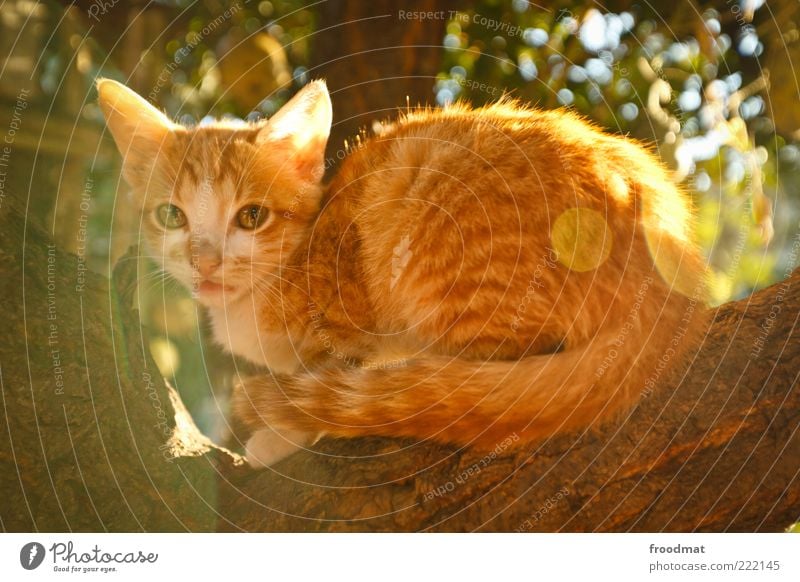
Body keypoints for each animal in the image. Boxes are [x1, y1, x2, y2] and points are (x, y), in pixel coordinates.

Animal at [98, 78, 708, 470]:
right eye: (171, 216)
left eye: (251, 217)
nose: (204, 262)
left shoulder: (349, 326)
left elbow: (337, 372)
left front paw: (284, 433)